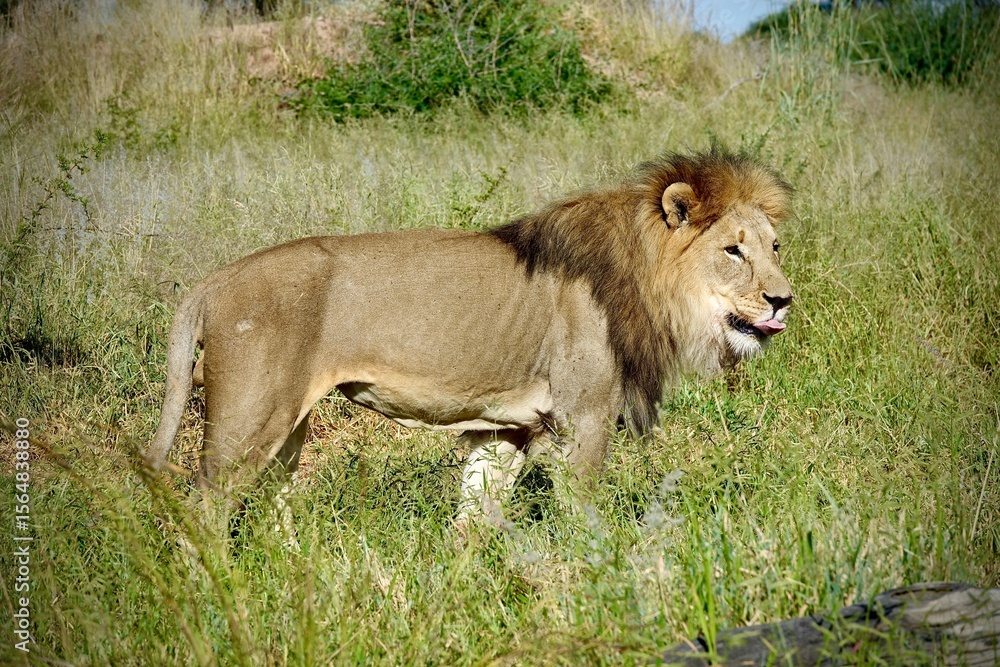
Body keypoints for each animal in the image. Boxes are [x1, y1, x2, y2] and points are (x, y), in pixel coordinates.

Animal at [145, 146, 793, 530]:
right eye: (732, 251)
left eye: (774, 247)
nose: (783, 300)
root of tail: (214, 280)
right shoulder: (584, 418)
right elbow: (584, 518)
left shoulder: (508, 427)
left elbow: (474, 519)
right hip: (247, 422)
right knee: (202, 514)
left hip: (288, 426)